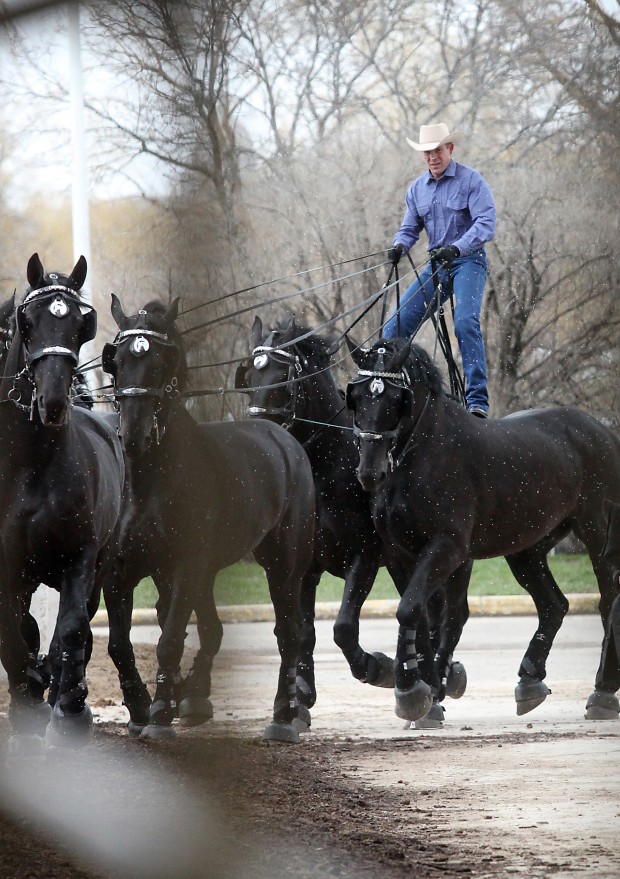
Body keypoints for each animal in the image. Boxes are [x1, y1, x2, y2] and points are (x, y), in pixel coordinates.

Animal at [103, 296, 314, 744]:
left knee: (288, 634)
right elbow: (120, 644)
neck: (150, 480)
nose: (134, 434)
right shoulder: (119, 572)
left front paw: (159, 713)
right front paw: (141, 706)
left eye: (161, 361)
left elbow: (168, 640)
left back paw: (283, 715)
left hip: (284, 565)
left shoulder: (185, 567)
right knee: (210, 628)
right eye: (117, 359)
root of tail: (281, 436)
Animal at [235, 316, 468, 728]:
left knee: (438, 613)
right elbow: (305, 630)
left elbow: (344, 628)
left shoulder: (364, 558)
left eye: (283, 378)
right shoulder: (304, 566)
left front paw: (378, 668)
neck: (323, 469)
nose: (261, 437)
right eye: (250, 376)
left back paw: (428, 687)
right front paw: (302, 697)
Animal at [344, 336, 620, 720]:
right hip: (527, 547)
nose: (370, 472)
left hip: (598, 533)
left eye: (396, 399)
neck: (423, 452)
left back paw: (603, 690)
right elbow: (422, 614)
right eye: (355, 396)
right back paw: (530, 677)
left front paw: (412, 688)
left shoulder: (448, 548)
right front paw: (428, 684)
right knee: (554, 604)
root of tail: (602, 430)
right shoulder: (401, 553)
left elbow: (410, 609)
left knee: (608, 602)